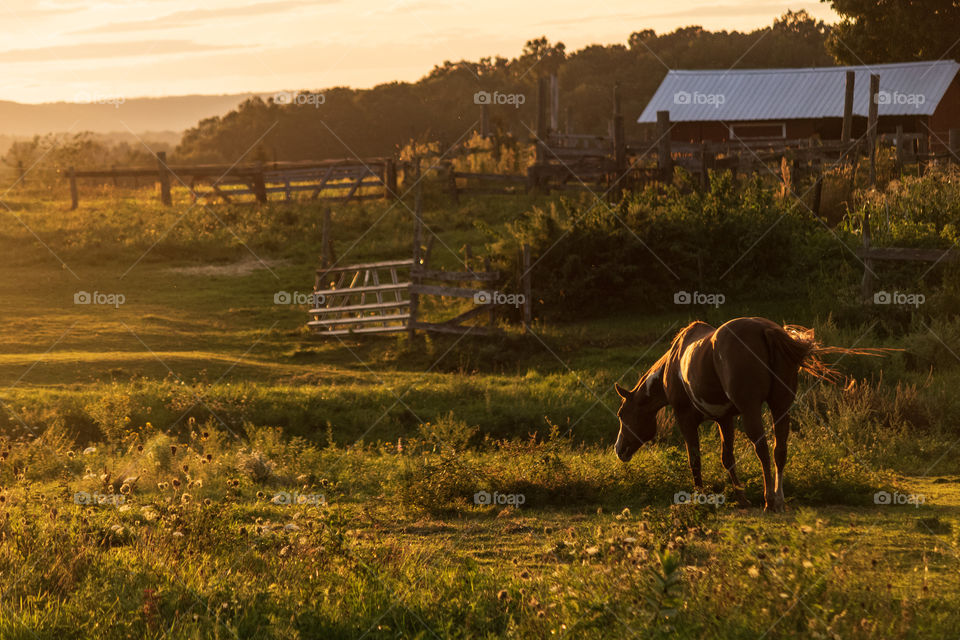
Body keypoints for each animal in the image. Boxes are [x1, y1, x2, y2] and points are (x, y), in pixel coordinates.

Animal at [616, 318, 840, 512]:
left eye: (621, 414)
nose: (619, 449)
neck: (673, 366)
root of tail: (765, 329)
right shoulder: (724, 419)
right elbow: (727, 458)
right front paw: (741, 498)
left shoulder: (685, 417)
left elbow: (694, 459)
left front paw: (700, 497)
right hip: (780, 407)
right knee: (780, 451)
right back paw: (779, 499)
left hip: (751, 410)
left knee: (762, 450)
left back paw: (769, 500)